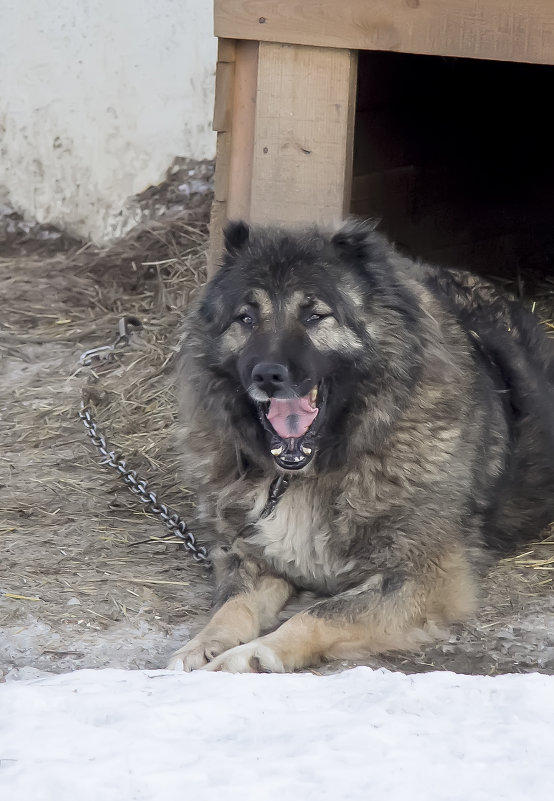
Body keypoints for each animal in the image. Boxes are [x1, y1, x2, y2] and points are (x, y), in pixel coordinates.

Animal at [166, 217, 552, 668]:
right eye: (245, 318)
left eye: (315, 316)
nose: (267, 374)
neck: (309, 473)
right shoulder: (253, 558)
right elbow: (232, 606)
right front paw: (201, 647)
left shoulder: (422, 579)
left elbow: (318, 614)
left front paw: (253, 656)